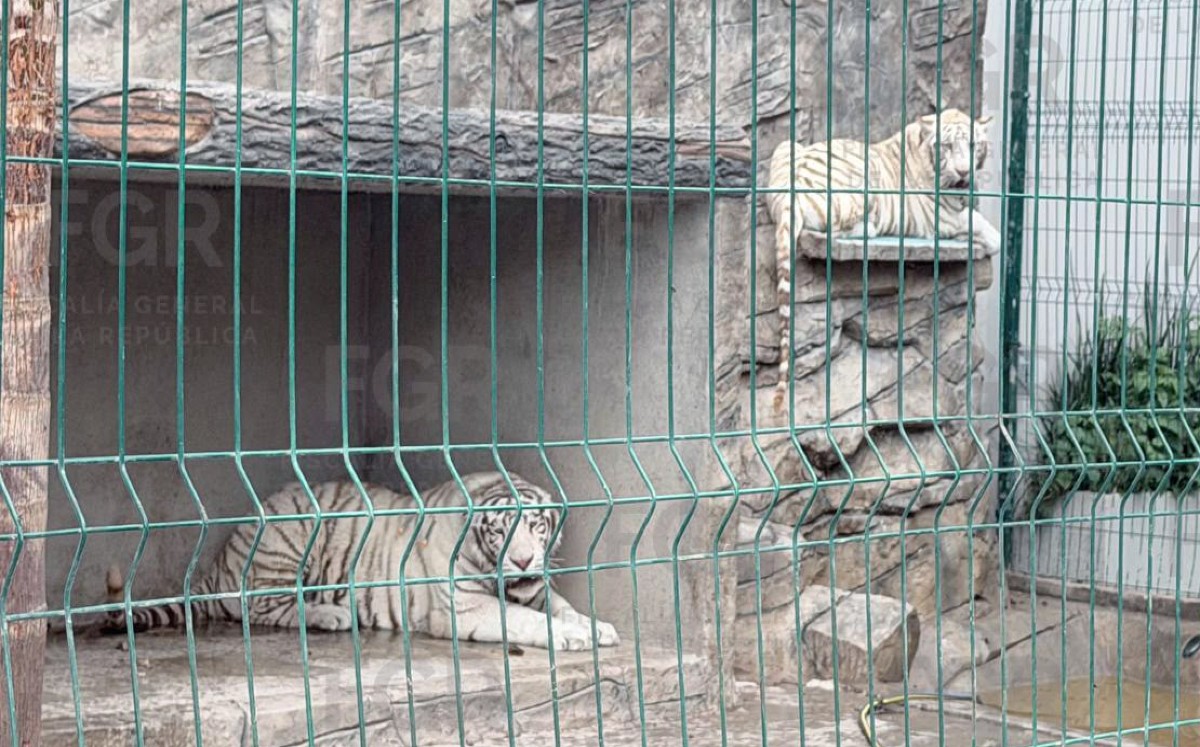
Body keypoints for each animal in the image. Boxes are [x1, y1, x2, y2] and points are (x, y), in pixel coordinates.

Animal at [101, 471, 620, 651]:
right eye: (499, 530)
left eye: (537, 526)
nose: (524, 561)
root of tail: (215, 567)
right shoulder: (465, 608)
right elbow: (527, 620)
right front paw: (573, 637)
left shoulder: (535, 589)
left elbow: (561, 606)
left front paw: (596, 627)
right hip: (289, 532)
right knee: (261, 607)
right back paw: (332, 614)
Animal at [765, 108, 1001, 411]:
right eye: (948, 146)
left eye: (974, 145)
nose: (963, 172)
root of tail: (787, 194)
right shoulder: (941, 216)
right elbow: (984, 227)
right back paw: (870, 227)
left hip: (787, 145)